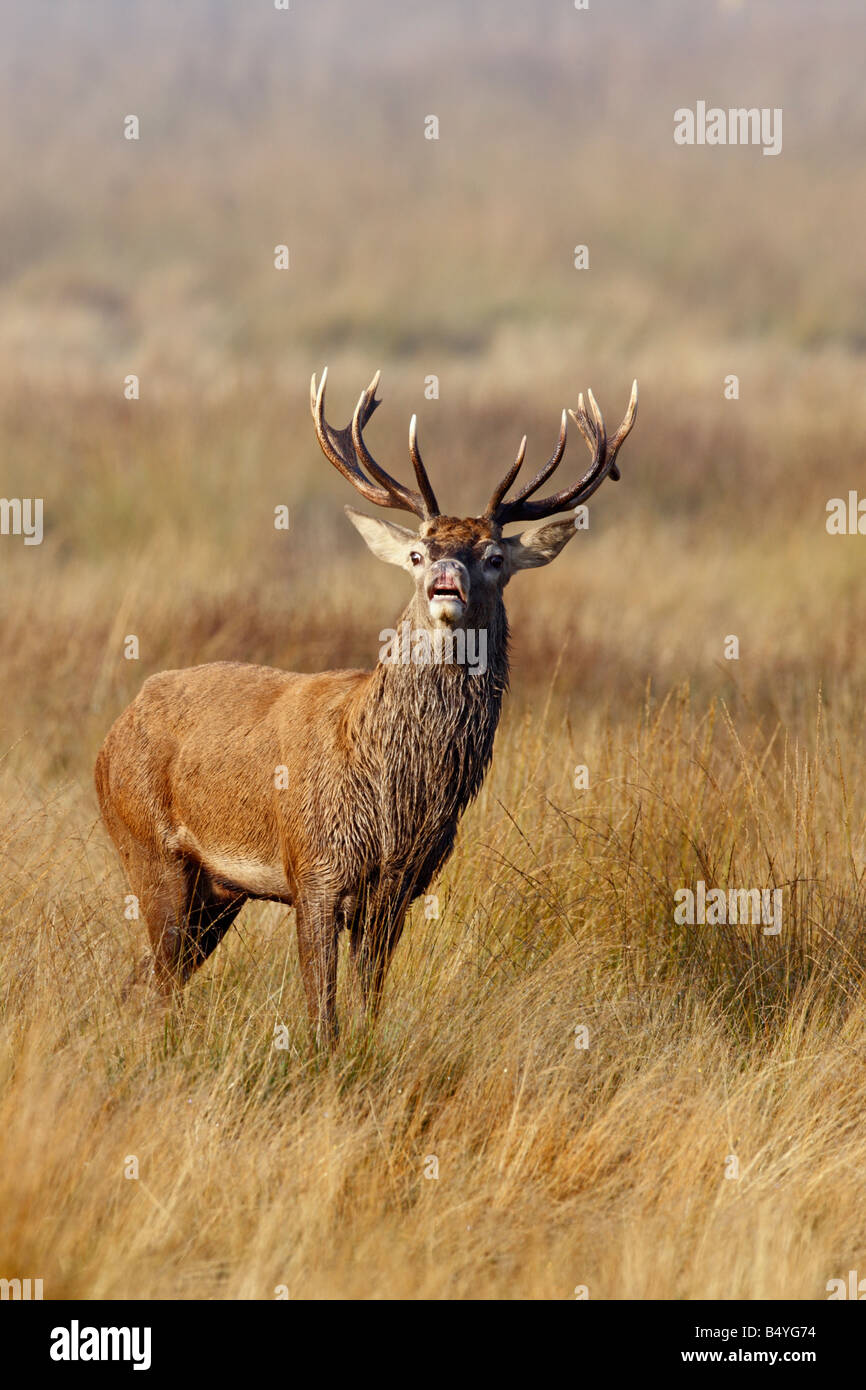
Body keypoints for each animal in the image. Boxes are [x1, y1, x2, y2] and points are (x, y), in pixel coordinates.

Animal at [94, 369, 638, 1046]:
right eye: (417, 554)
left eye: (495, 558)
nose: (446, 580)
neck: (392, 795)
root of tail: (112, 735)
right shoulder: (314, 869)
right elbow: (321, 1015)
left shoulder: (401, 886)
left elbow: (369, 1002)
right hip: (148, 845)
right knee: (158, 981)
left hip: (217, 890)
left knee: (142, 982)